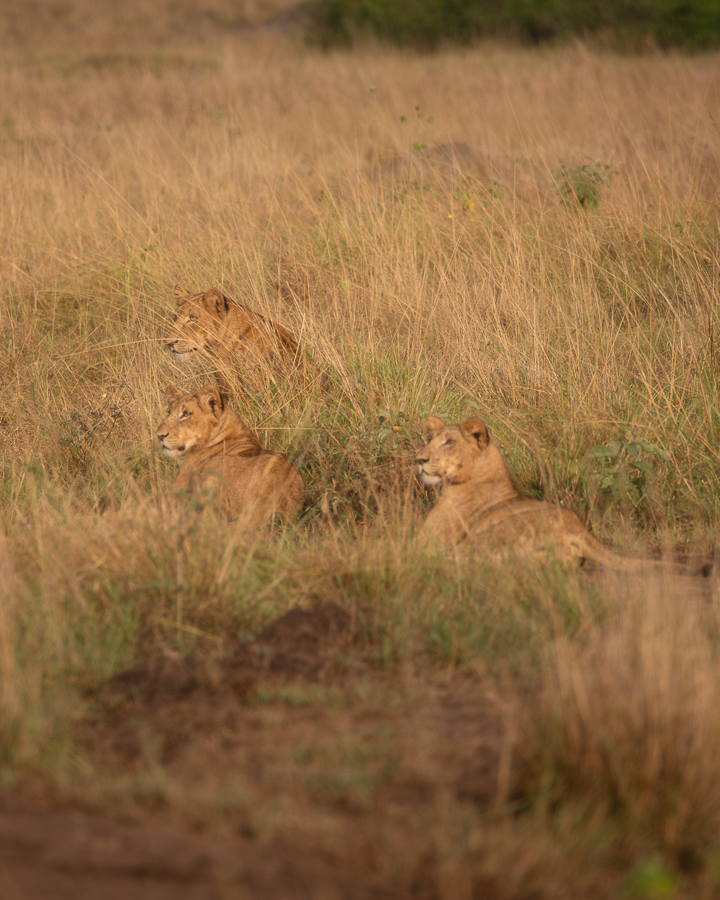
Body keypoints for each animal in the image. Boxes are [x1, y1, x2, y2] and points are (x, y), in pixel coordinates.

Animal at [416, 416, 711, 574]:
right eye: (429, 439)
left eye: (449, 442)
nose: (419, 459)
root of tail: (578, 527)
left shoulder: (430, 538)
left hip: (484, 537)